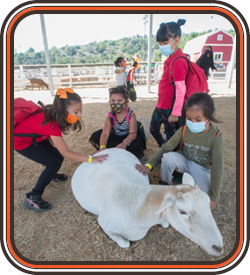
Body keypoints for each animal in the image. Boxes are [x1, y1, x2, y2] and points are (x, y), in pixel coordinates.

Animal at [71, 148, 224, 258]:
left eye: (207, 203)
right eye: (182, 211)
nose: (218, 248)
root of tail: (103, 151)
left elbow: (165, 223)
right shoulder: (106, 225)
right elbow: (125, 244)